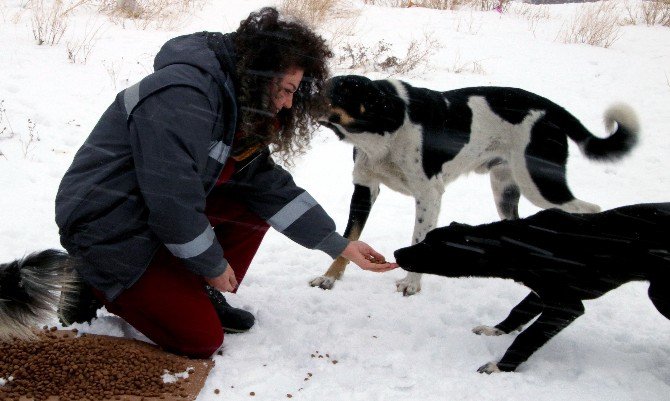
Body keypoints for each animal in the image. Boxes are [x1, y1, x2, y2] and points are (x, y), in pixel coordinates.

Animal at [310, 74, 640, 294]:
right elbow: (349, 238)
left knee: (589, 208)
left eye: (335, 92)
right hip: (505, 189)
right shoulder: (366, 188)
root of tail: (550, 108)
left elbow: (418, 238)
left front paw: (411, 283)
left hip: (540, 183)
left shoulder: (429, 195)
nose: (304, 93)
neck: (385, 124)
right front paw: (329, 277)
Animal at [394, 203, 670, 372]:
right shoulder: (540, 291)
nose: (397, 253)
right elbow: (518, 311)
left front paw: (500, 367)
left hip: (658, 293)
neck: (520, 243)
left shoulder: (566, 305)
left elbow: (527, 337)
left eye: (430, 247)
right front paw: (496, 330)